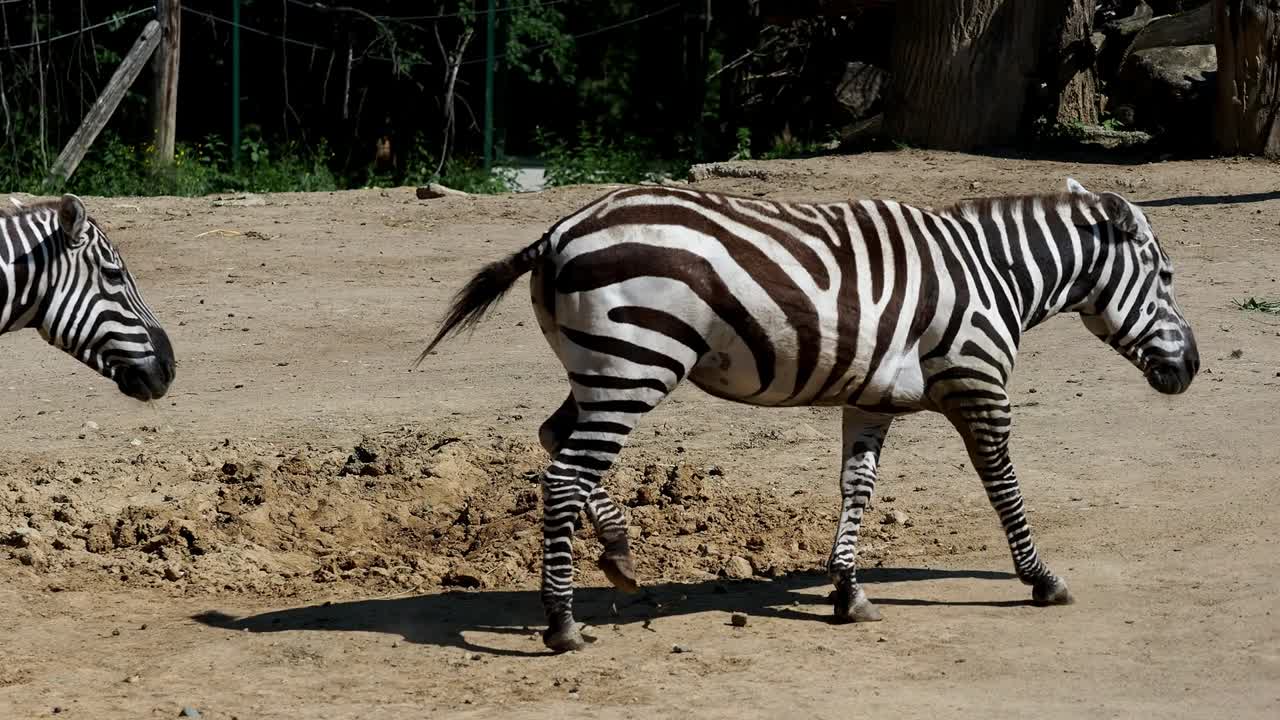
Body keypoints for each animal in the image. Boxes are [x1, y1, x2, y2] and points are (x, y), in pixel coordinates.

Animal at [419, 178, 1198, 653]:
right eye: (1164, 276)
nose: (1190, 368)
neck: (992, 274)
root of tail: (560, 231)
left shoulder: (870, 398)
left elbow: (858, 488)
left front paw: (848, 591)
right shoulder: (979, 385)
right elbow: (1004, 488)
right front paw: (1041, 579)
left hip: (602, 367)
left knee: (557, 445)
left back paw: (618, 554)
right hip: (635, 364)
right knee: (563, 475)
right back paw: (562, 623)